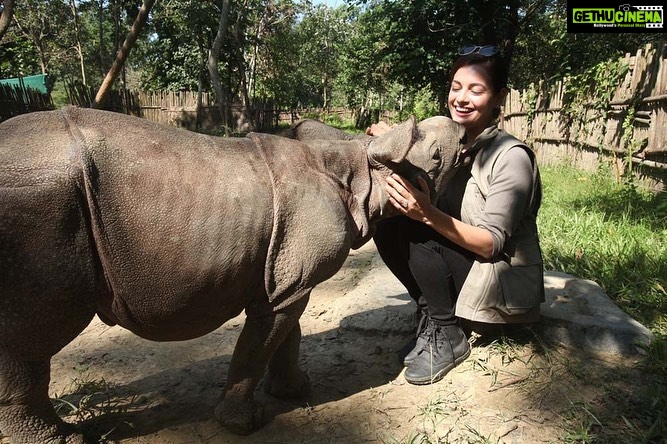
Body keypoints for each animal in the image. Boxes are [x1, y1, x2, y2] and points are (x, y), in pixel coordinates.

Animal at [0, 106, 463, 443]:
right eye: (438, 157)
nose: (460, 126)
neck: (361, 173)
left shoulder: (286, 280)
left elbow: (286, 334)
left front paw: (294, 391)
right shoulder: (288, 283)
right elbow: (258, 347)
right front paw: (245, 424)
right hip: (39, 203)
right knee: (34, 341)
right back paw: (61, 439)